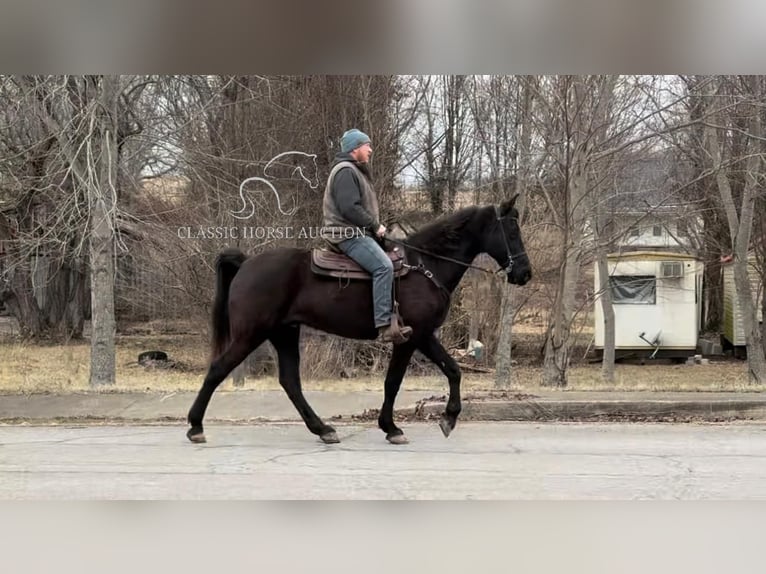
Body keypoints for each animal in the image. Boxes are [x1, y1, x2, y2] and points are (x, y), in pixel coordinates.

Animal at [188, 197, 532, 446]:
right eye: (512, 232)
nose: (525, 273)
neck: (426, 265)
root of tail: (246, 263)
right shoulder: (415, 336)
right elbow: (399, 380)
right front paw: (398, 426)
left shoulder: (422, 336)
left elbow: (451, 370)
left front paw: (441, 419)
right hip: (251, 334)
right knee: (218, 369)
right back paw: (195, 426)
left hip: (283, 334)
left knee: (290, 382)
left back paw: (323, 429)